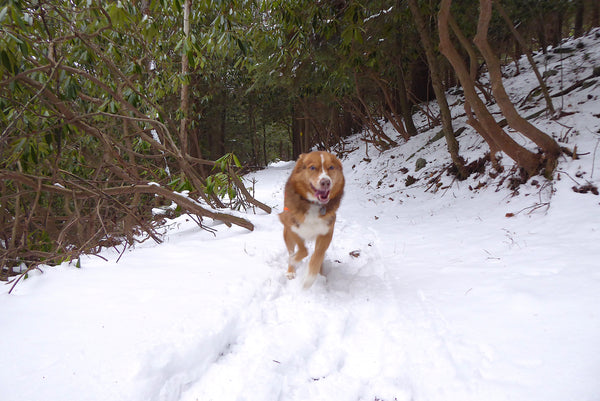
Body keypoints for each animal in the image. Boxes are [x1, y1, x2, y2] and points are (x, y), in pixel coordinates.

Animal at [278, 151, 344, 288]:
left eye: (331, 167)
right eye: (312, 167)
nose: (326, 182)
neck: (314, 204)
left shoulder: (326, 231)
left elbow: (318, 254)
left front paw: (310, 278)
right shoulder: (291, 226)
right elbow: (303, 250)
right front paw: (294, 261)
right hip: (287, 234)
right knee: (291, 251)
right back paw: (291, 269)